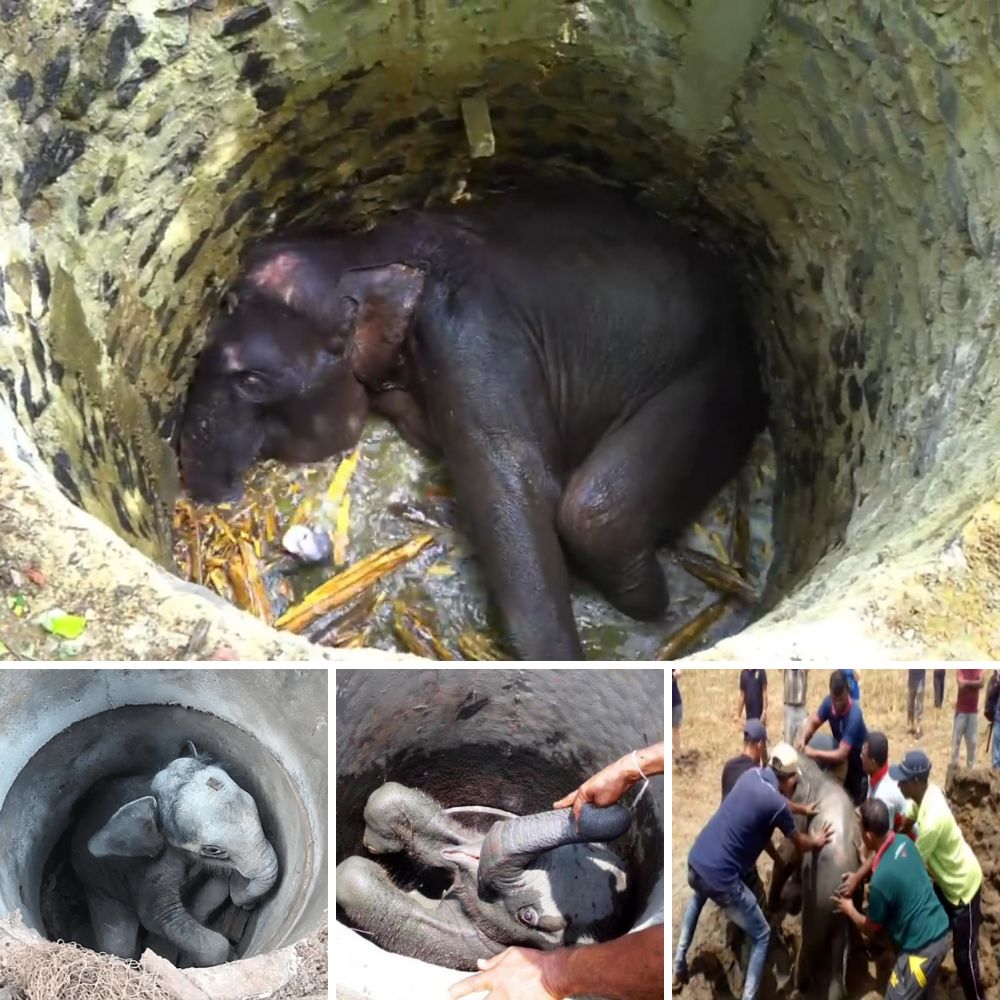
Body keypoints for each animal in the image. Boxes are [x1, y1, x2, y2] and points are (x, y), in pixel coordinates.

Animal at [71, 744, 278, 968]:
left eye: (253, 801)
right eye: (212, 850)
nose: (246, 905)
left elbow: (213, 890)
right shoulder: (147, 869)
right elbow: (156, 917)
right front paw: (229, 955)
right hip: (97, 887)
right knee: (119, 946)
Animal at [768, 752, 864, 1000]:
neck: (817, 774)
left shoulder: (799, 820)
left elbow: (789, 855)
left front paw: (773, 906)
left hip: (818, 900)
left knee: (810, 944)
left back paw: (797, 986)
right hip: (840, 909)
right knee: (839, 955)